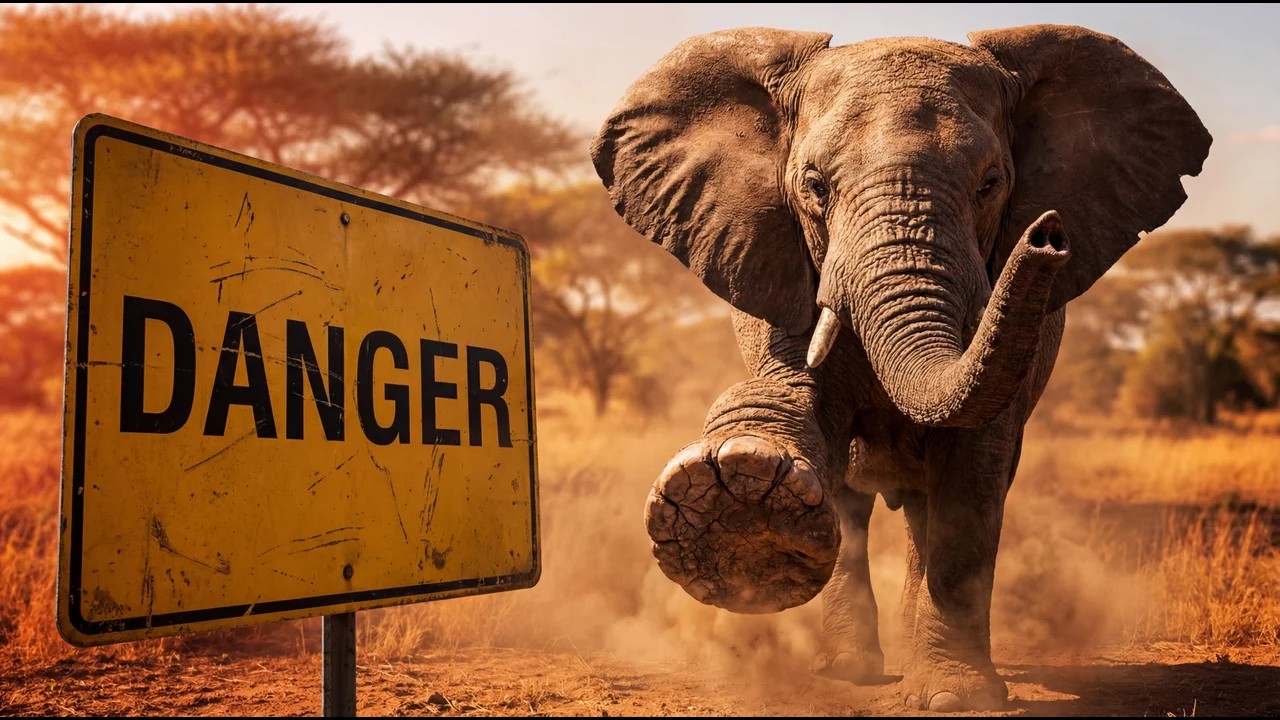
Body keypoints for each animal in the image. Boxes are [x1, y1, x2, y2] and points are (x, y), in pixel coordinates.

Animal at [589, 24, 1210, 712]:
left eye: (991, 184)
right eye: (813, 187)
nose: (1047, 235)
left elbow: (973, 480)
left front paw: (955, 698)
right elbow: (814, 424)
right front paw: (737, 495)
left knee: (928, 506)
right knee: (854, 505)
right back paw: (848, 670)